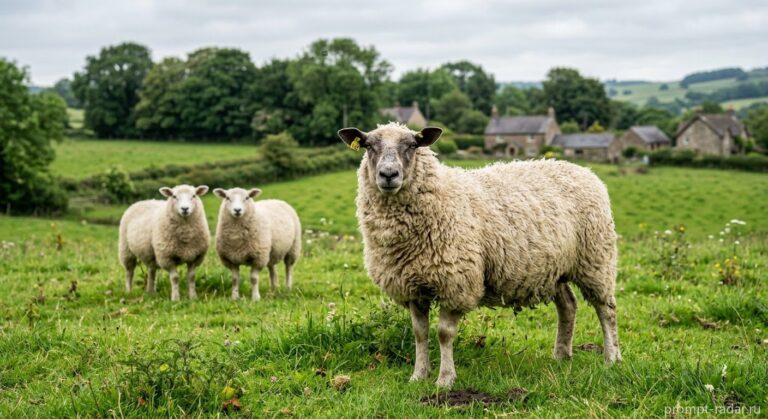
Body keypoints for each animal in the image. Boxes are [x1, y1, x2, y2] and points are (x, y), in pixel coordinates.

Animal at [338, 122, 621, 388]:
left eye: (413, 145)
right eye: (368, 145)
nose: (388, 174)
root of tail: (582, 170)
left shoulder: (456, 283)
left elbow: (444, 334)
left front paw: (445, 379)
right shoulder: (412, 287)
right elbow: (419, 333)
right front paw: (418, 376)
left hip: (595, 258)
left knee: (606, 309)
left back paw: (612, 358)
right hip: (554, 269)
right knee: (568, 305)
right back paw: (561, 355)